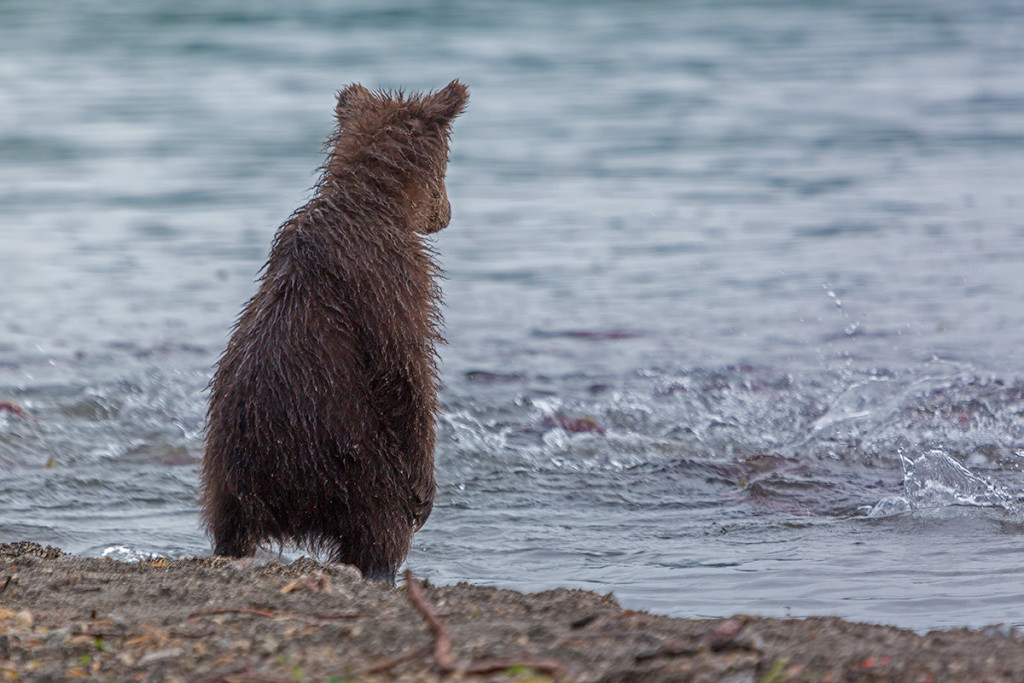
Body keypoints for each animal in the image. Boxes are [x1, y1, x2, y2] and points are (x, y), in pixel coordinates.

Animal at [198, 80, 468, 581]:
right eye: (446, 162)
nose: (447, 214)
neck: (375, 204)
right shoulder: (392, 282)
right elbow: (405, 370)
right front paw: (425, 491)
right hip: (349, 462)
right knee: (379, 524)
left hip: (226, 472)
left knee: (228, 524)